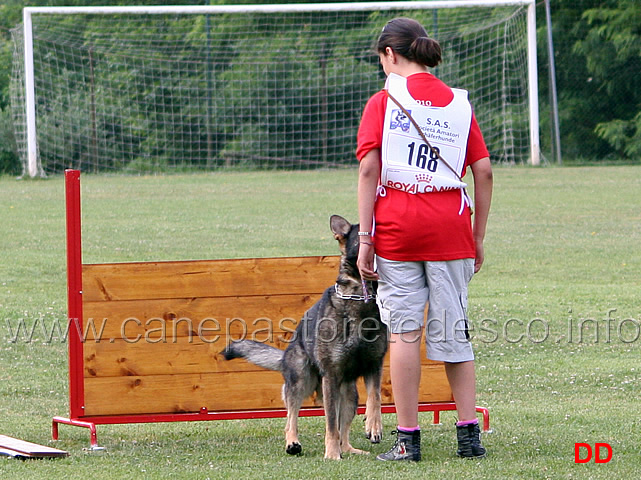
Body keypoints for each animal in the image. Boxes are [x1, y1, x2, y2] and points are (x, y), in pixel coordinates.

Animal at [222, 216, 388, 460]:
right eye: (366, 236)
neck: (359, 298)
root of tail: (285, 354)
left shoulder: (374, 366)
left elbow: (375, 398)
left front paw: (373, 427)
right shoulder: (331, 376)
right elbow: (330, 424)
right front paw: (331, 454)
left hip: (349, 395)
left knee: (344, 430)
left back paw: (350, 449)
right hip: (302, 380)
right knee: (292, 417)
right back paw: (294, 443)